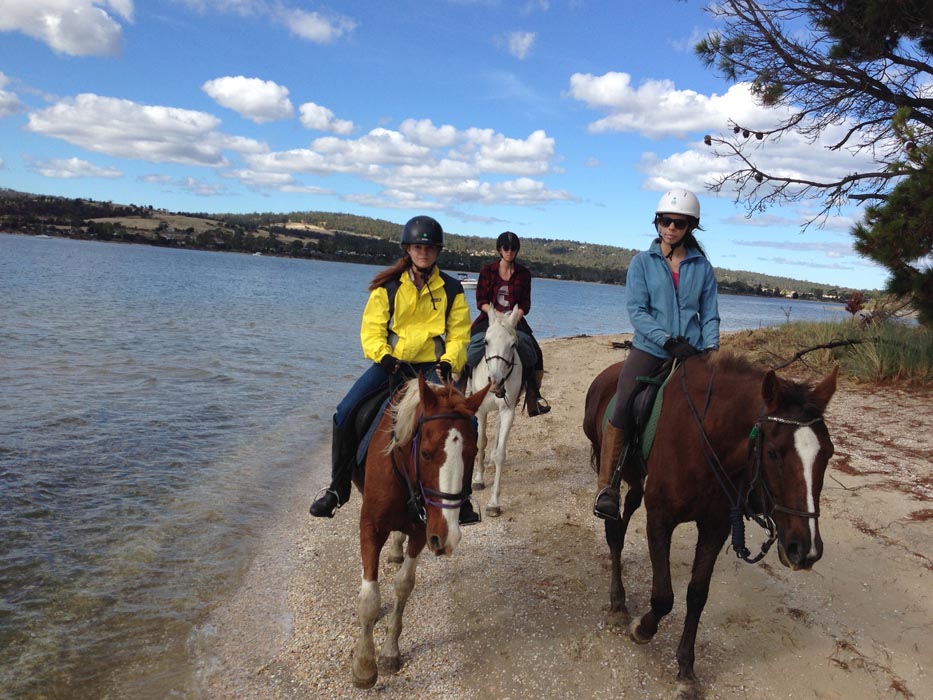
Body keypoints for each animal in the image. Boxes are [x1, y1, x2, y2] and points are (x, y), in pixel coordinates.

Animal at [350, 374, 492, 688]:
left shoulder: (421, 530)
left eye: (473, 452)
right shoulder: (370, 527)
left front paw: (390, 653)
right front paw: (364, 667)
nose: (448, 537)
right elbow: (370, 599)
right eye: (426, 453)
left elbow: (404, 586)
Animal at [584, 352, 836, 696]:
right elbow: (664, 596)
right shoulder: (660, 520)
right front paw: (643, 629)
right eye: (773, 453)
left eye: (829, 454)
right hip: (611, 464)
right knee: (614, 533)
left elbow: (697, 595)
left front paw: (686, 668)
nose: (804, 550)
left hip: (636, 479)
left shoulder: (715, 527)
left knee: (625, 518)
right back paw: (618, 604)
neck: (701, 437)